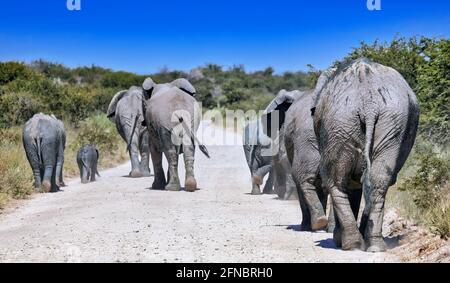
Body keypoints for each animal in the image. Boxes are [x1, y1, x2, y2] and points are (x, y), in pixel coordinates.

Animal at [312, 58, 420, 253]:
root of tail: (369, 104)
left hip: (342, 122)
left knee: (336, 180)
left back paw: (351, 244)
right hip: (381, 122)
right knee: (378, 180)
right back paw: (373, 245)